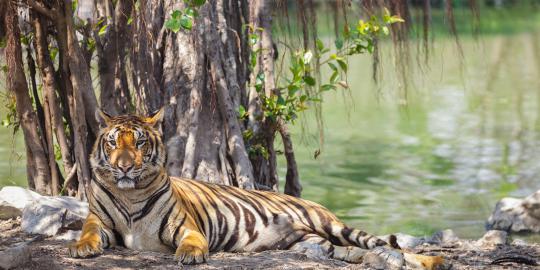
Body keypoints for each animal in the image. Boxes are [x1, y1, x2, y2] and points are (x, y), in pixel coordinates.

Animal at [67, 110, 442, 270]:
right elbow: (87, 233)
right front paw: (80, 248)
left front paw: (190, 255)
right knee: (346, 251)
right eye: (113, 143)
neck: (130, 192)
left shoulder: (187, 226)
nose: (124, 166)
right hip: (311, 242)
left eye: (140, 143)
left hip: (331, 224)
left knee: (380, 244)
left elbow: (191, 241)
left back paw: (429, 260)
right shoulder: (98, 221)